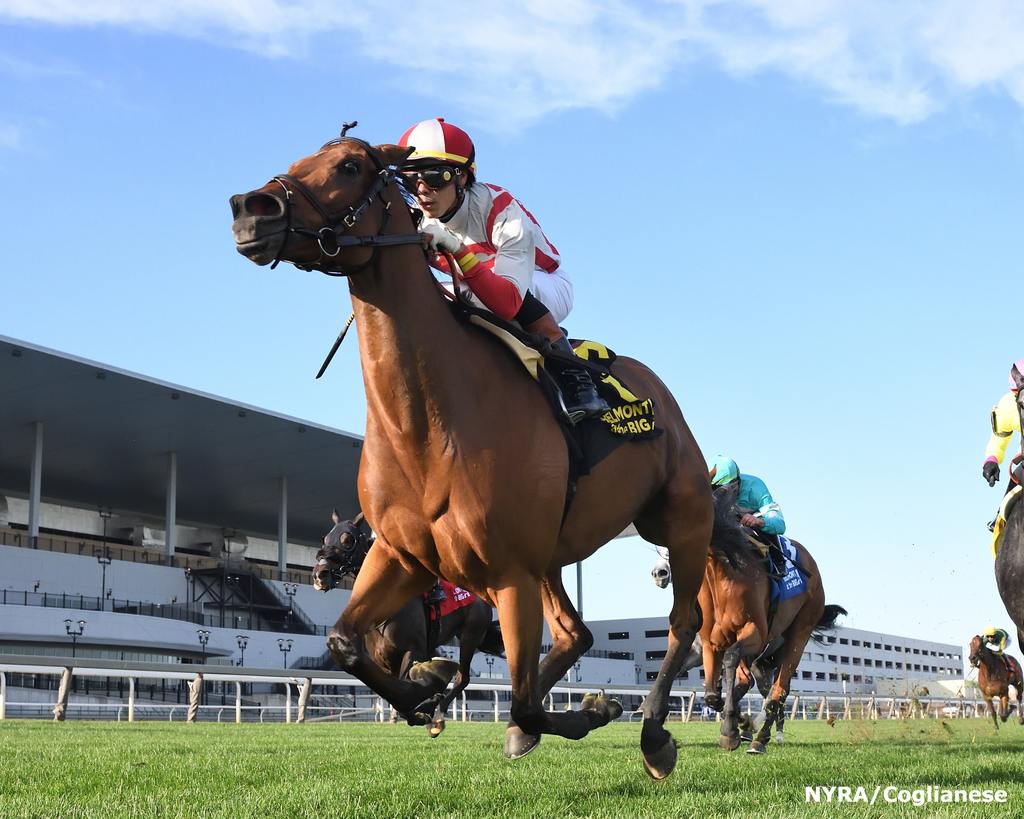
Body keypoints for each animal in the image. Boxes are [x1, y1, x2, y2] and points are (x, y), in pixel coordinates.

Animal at [311, 511, 503, 737]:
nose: (320, 574)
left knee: (462, 677)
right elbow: (392, 692)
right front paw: (419, 712)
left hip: (470, 634)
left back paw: (438, 715)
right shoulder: (384, 661)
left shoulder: (412, 650)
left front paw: (424, 710)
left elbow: (403, 688)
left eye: (348, 540)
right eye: (325, 539)